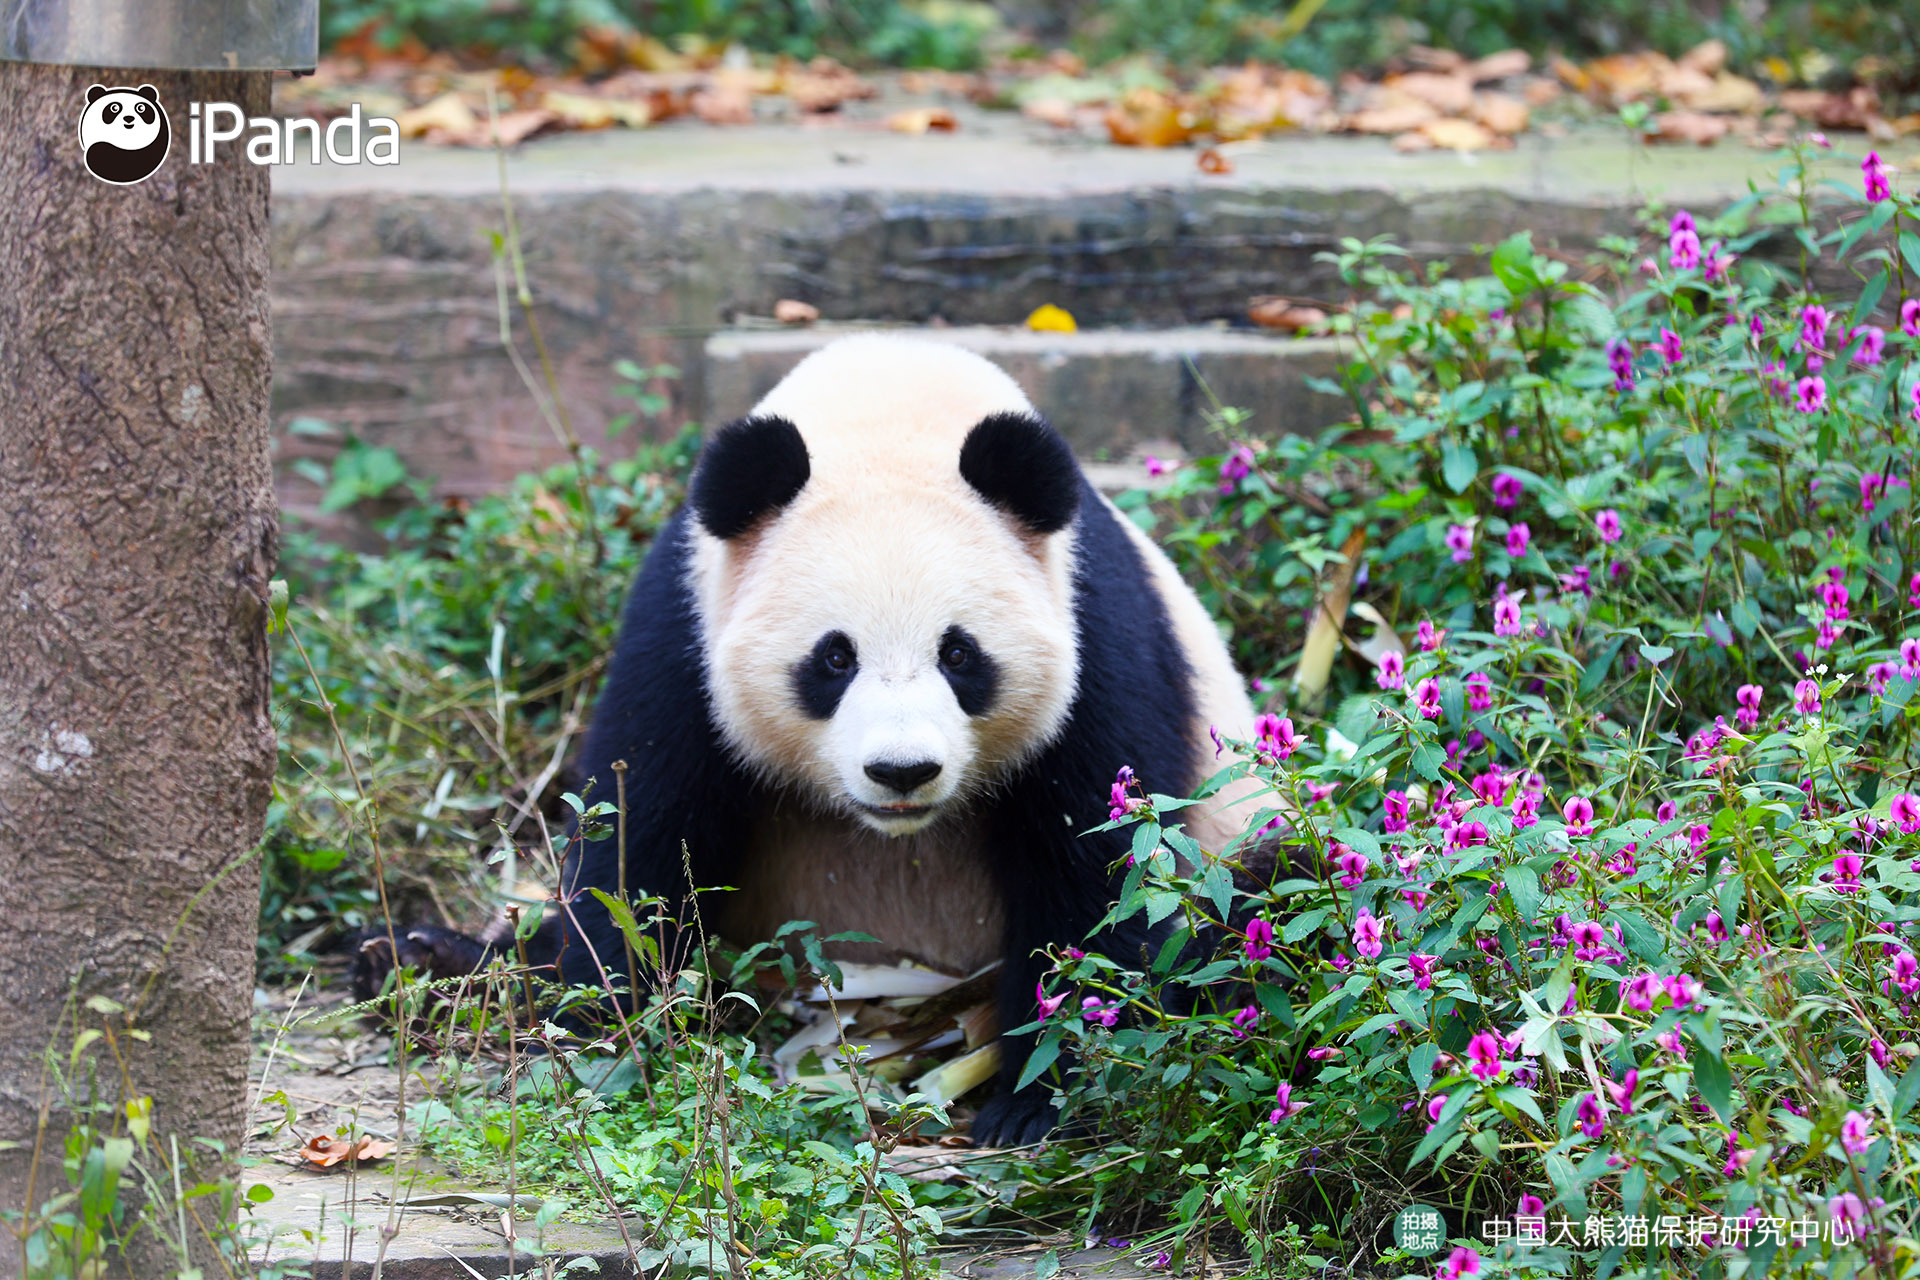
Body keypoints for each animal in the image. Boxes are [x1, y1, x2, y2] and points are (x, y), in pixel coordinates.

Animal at [362, 335, 1259, 1143]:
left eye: (960, 654)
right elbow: (641, 843)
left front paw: (1042, 1099)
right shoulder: (684, 625)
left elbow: (1100, 875)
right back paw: (413, 958)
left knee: (1254, 911)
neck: (891, 409)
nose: (902, 771)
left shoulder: (1093, 628)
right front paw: (605, 1034)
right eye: (834, 658)